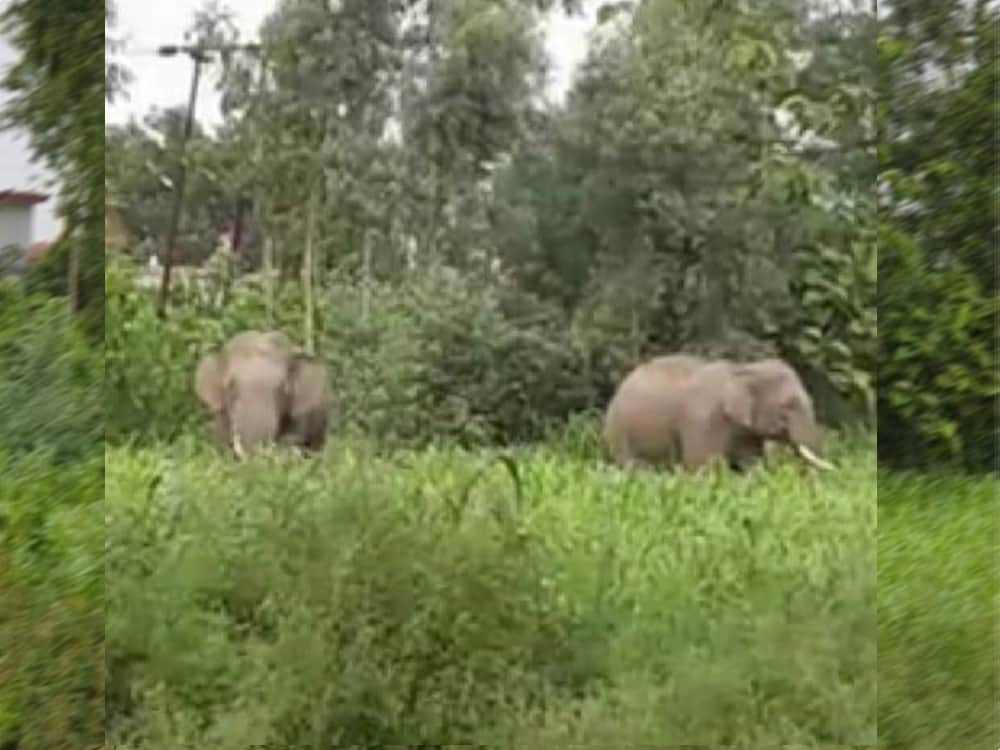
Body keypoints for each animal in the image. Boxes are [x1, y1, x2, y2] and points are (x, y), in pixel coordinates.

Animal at [602, 353, 833, 472]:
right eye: (788, 405)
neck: (743, 369)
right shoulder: (702, 421)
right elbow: (703, 466)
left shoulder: (745, 433)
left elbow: (751, 464)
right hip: (619, 432)